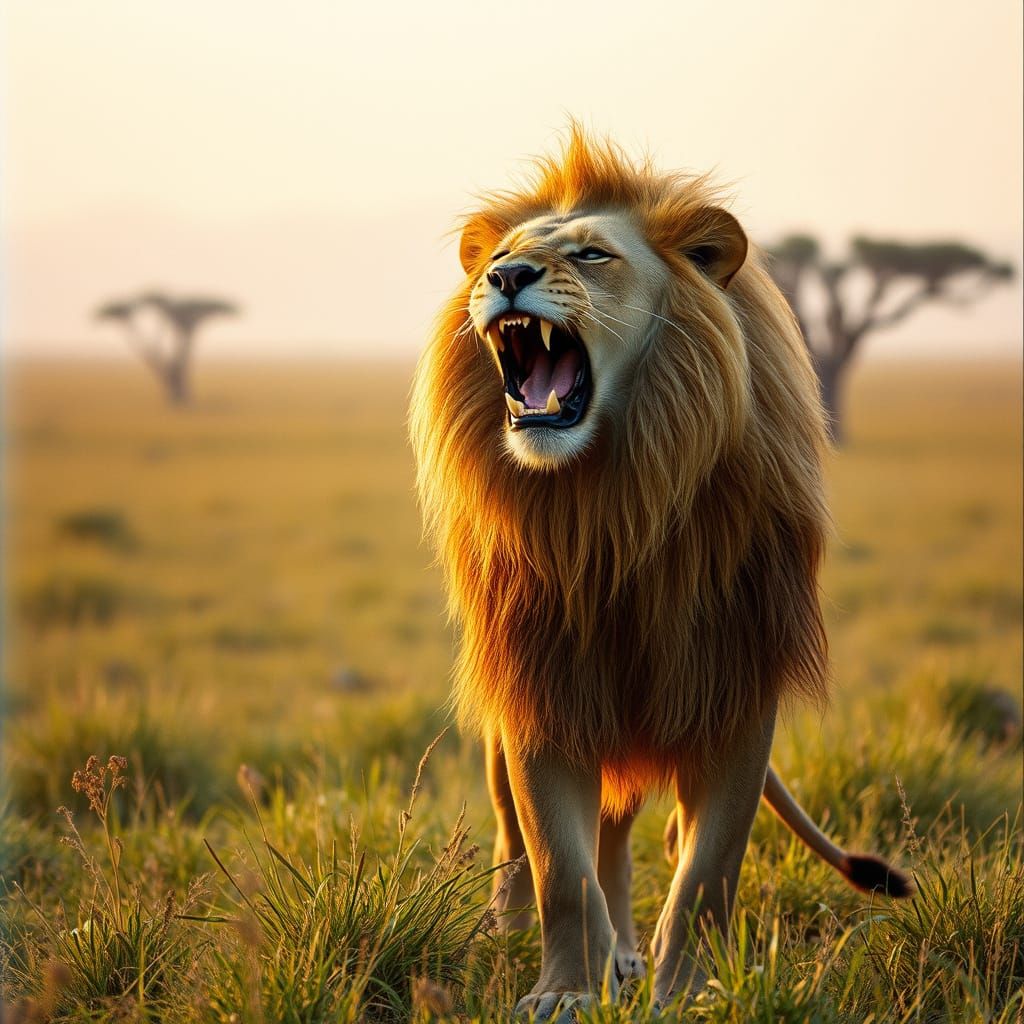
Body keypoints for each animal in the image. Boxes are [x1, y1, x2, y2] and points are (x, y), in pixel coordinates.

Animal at [409, 129, 911, 1018]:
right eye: (498, 256)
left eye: (591, 254)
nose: (505, 278)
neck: (614, 501)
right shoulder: (548, 686)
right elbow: (561, 869)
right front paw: (565, 991)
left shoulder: (734, 684)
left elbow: (706, 870)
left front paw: (690, 990)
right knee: (536, 833)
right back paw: (550, 934)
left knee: (626, 834)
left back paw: (629, 957)